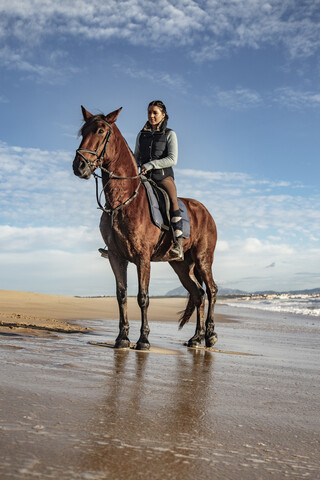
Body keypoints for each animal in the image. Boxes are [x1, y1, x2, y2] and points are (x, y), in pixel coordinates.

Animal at [72, 107, 218, 350]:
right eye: (83, 132)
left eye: (100, 131)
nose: (79, 166)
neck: (123, 201)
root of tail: (206, 212)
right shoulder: (116, 257)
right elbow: (121, 295)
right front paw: (122, 338)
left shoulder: (143, 258)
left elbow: (143, 297)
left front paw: (143, 339)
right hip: (181, 265)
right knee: (198, 294)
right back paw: (196, 338)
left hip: (203, 259)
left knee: (212, 290)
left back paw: (210, 335)